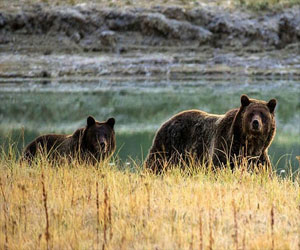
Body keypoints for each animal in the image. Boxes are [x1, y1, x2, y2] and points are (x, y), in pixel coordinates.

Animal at [145, 94, 276, 173]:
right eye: (251, 113)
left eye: (263, 114)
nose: (255, 123)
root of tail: (167, 121)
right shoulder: (225, 147)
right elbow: (218, 167)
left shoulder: (259, 158)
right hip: (169, 146)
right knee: (155, 163)